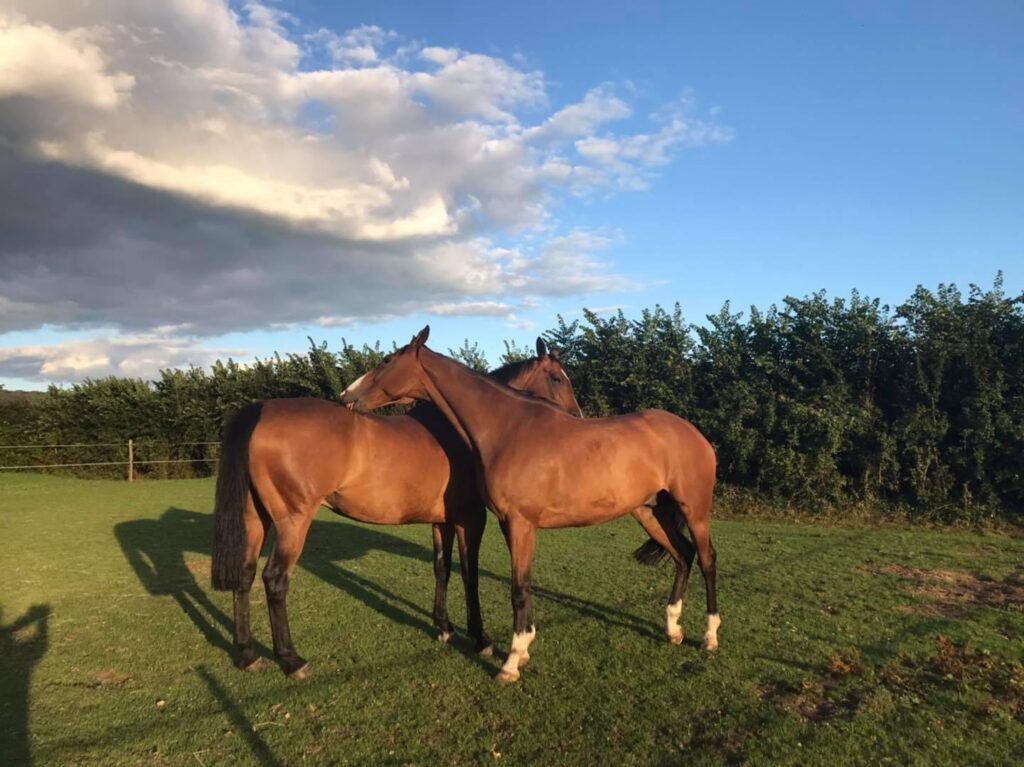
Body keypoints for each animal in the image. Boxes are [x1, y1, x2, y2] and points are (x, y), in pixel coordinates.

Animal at [211, 339, 582, 678]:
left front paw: (444, 627)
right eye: (557, 378)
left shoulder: (442, 521)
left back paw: (247, 655)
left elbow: (442, 569)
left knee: (244, 576)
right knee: (275, 580)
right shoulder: (470, 519)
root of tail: (260, 410)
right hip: (293, 521)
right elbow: (470, 575)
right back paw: (292, 660)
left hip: (255, 518)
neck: (464, 431)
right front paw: (482, 639)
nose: (576, 417)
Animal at [341, 326, 719, 683]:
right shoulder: (508, 525)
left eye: (387, 360)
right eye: (556, 377)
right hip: (650, 513)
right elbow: (517, 585)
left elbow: (518, 589)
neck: (508, 429)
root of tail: (693, 432)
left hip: (695, 512)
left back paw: (709, 636)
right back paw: (673, 629)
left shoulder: (517, 523)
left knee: (706, 559)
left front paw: (510, 662)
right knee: (682, 554)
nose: (347, 395)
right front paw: (521, 650)